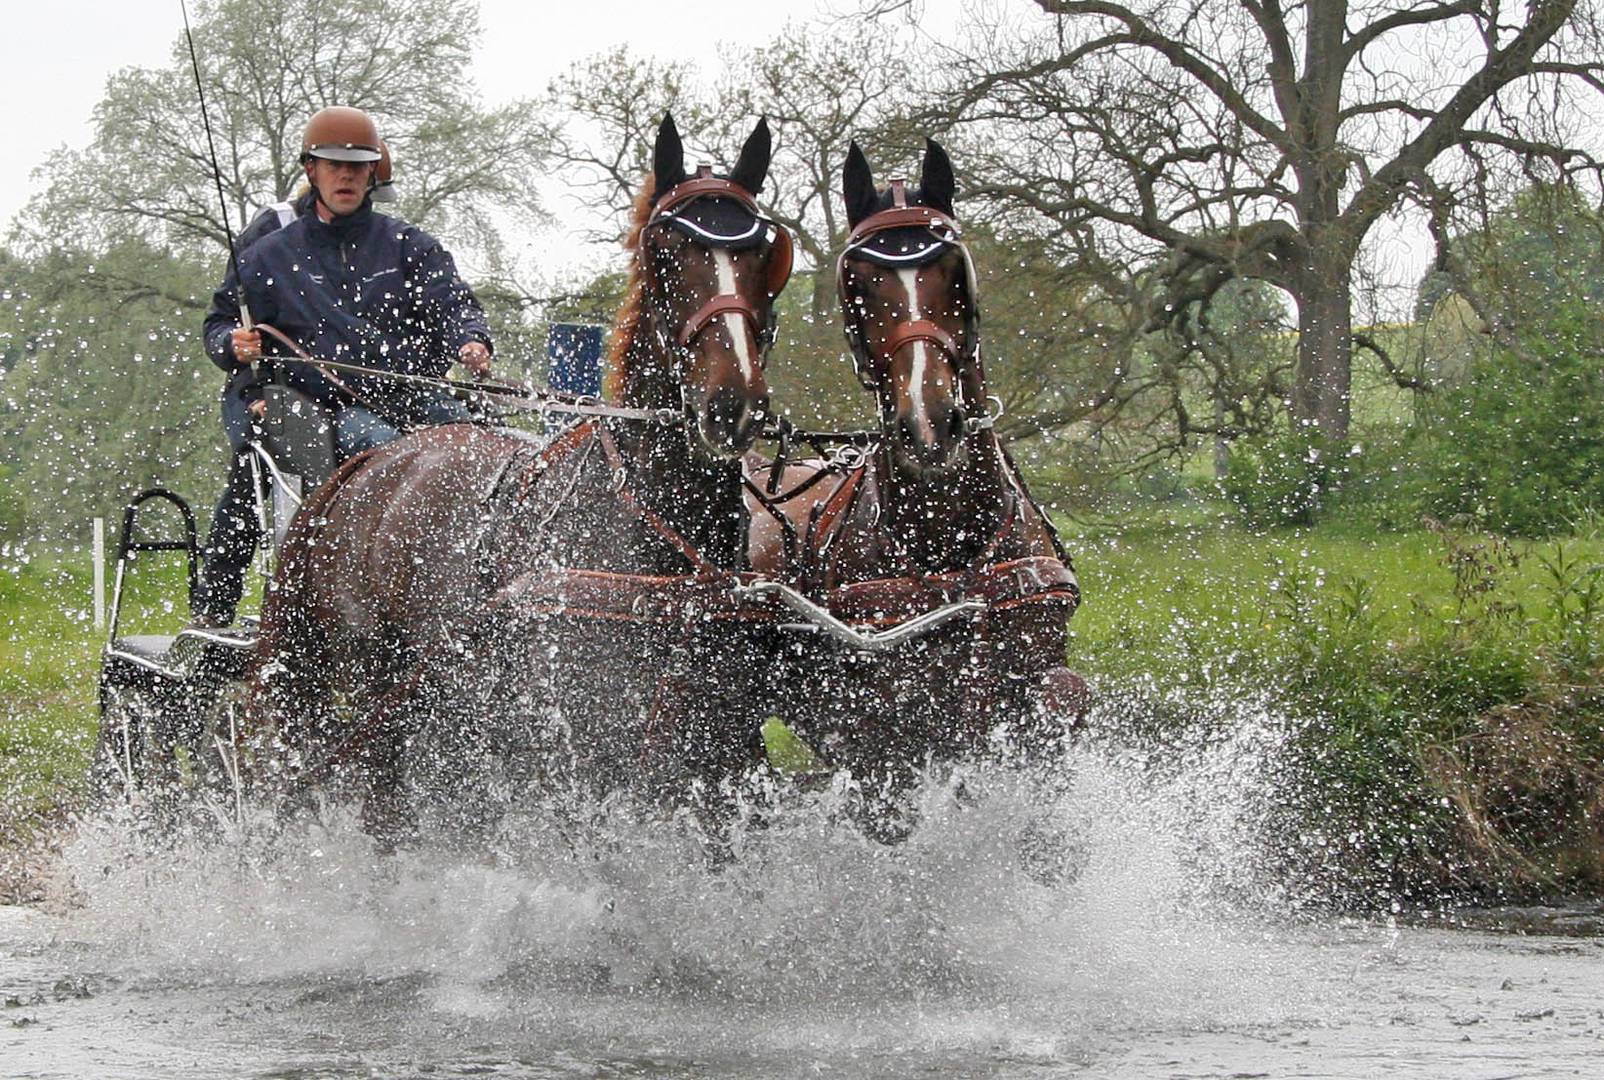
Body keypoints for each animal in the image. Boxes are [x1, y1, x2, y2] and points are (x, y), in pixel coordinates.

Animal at [245, 115, 795, 840]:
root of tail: (365, 466)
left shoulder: (716, 752)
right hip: (375, 695)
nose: (731, 404)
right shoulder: (582, 748)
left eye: (764, 251)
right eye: (665, 253)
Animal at [747, 137, 1077, 840]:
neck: (948, 540)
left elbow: (1060, 705)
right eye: (856, 283)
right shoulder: (886, 728)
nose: (928, 423)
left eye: (955, 268)